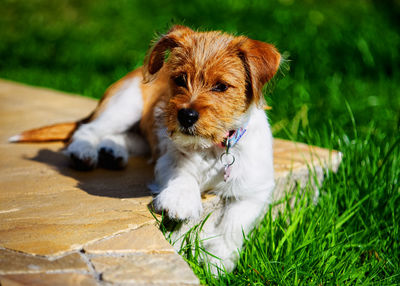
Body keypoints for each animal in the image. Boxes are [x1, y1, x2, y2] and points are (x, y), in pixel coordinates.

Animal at [11, 25, 282, 274]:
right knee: (88, 130)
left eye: (221, 86)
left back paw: (112, 152)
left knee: (128, 138)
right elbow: (182, 173)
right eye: (180, 79)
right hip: (126, 103)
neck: (211, 148)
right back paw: (85, 153)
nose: (186, 116)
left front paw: (216, 262)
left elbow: (234, 223)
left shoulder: (255, 189)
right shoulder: (169, 157)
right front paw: (180, 200)